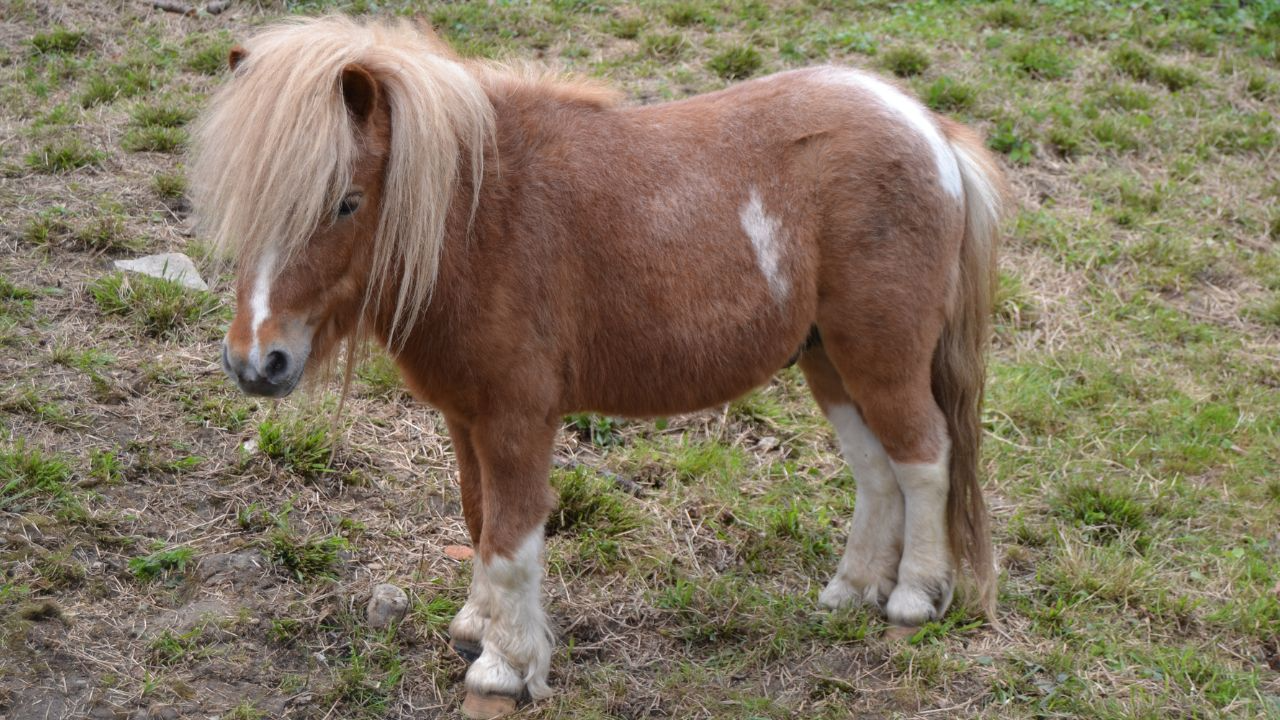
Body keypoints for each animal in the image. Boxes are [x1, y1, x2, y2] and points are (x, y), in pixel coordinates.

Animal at [192, 15, 1005, 716]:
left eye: (347, 202)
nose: (257, 362)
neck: (483, 218)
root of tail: (928, 129)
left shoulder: (517, 420)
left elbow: (512, 542)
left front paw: (505, 668)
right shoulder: (465, 418)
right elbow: (479, 519)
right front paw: (476, 627)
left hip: (881, 357)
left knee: (924, 459)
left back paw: (912, 599)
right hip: (830, 363)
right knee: (877, 470)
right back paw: (851, 591)